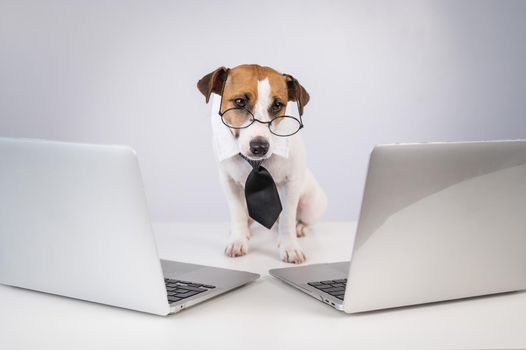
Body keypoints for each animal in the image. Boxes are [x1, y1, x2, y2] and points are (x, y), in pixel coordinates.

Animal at [198, 65, 328, 262]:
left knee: (302, 220)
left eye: (277, 105)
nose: (260, 147)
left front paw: (289, 246)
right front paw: (238, 239)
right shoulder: (228, 182)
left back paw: (299, 227)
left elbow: (287, 217)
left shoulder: (291, 185)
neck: (256, 163)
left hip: (311, 204)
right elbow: (237, 213)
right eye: (240, 101)